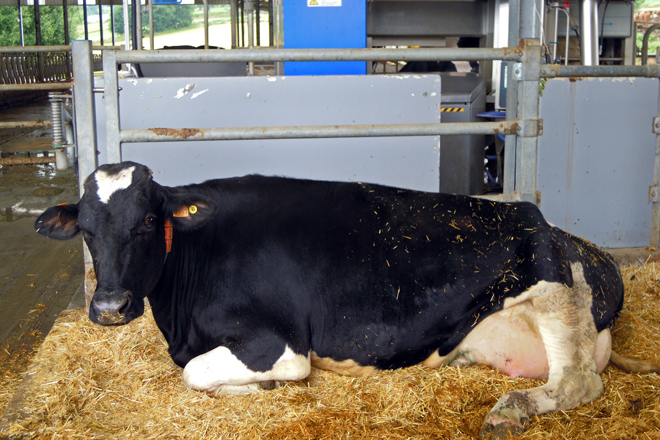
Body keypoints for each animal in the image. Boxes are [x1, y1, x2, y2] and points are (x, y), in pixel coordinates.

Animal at [35, 161, 659, 439]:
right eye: (86, 229)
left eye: (147, 220)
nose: (109, 308)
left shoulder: (280, 344)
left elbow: (195, 374)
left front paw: (256, 387)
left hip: (554, 283)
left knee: (579, 381)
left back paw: (510, 411)